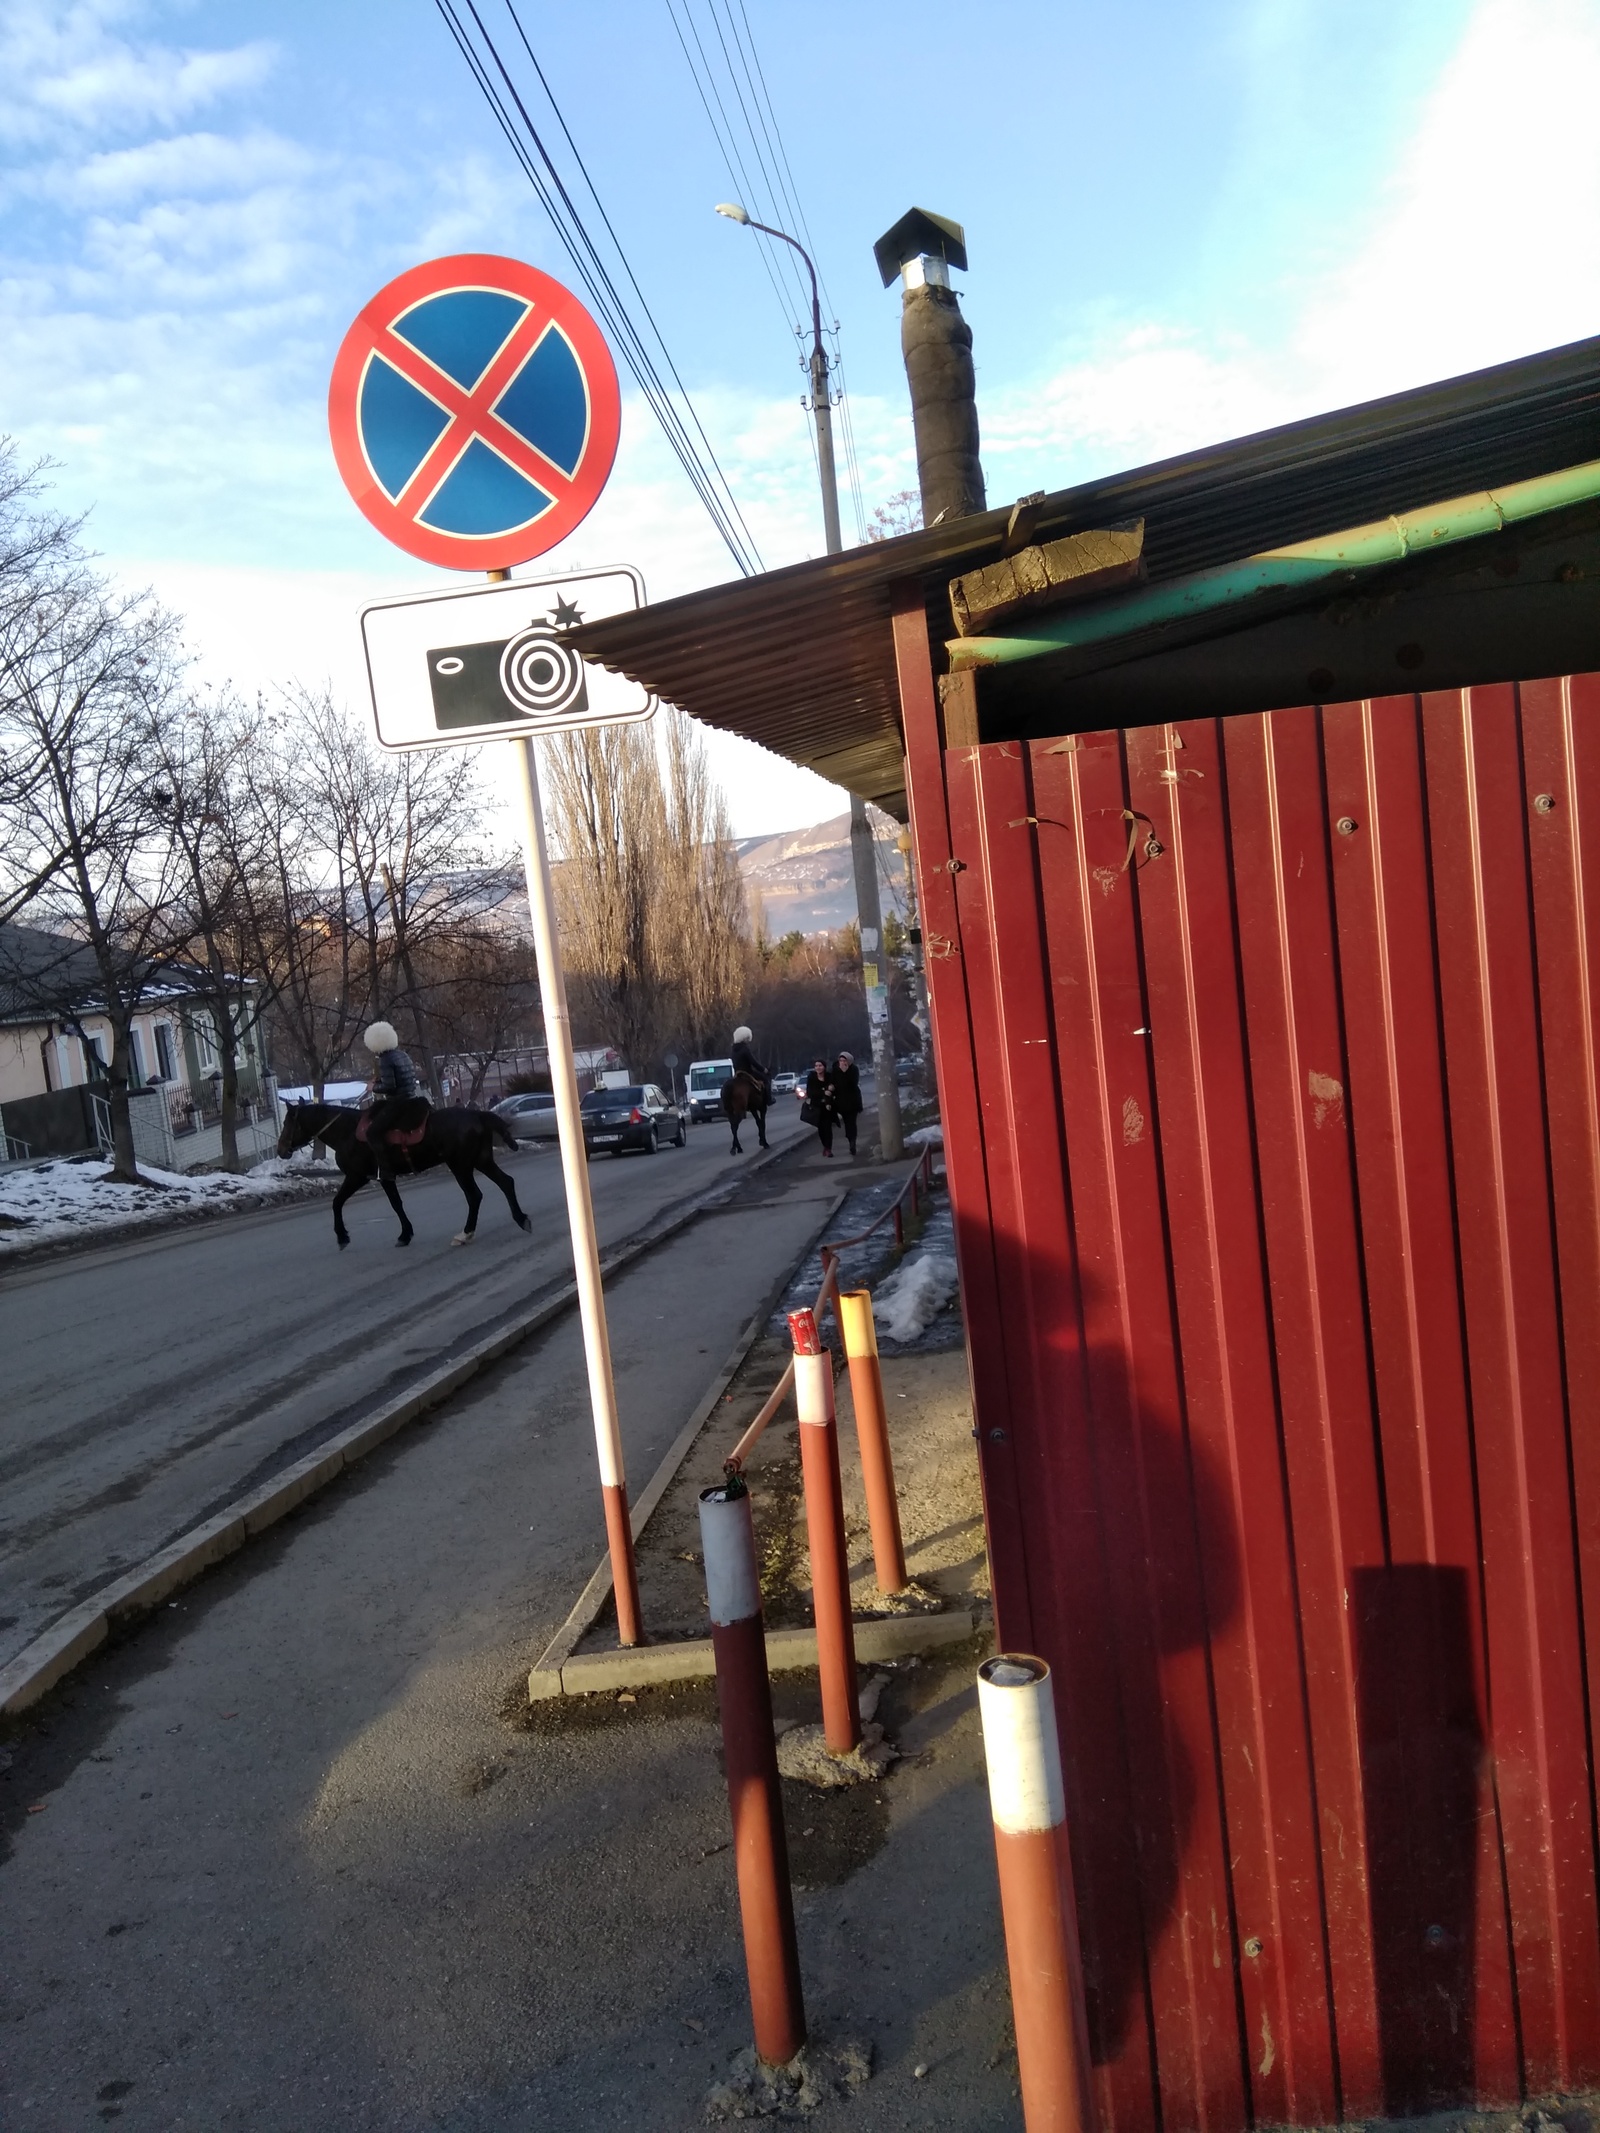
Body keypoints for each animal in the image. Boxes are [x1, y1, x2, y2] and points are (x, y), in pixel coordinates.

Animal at [279, 1100, 535, 1245]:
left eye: (286, 1122)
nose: (281, 1150)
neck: (346, 1132)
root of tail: (478, 1115)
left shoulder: (358, 1176)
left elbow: (338, 1202)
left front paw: (342, 1236)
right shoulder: (381, 1178)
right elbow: (395, 1203)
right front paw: (406, 1233)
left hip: (460, 1165)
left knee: (474, 1195)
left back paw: (466, 1234)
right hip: (481, 1160)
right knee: (506, 1182)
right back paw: (521, 1219)